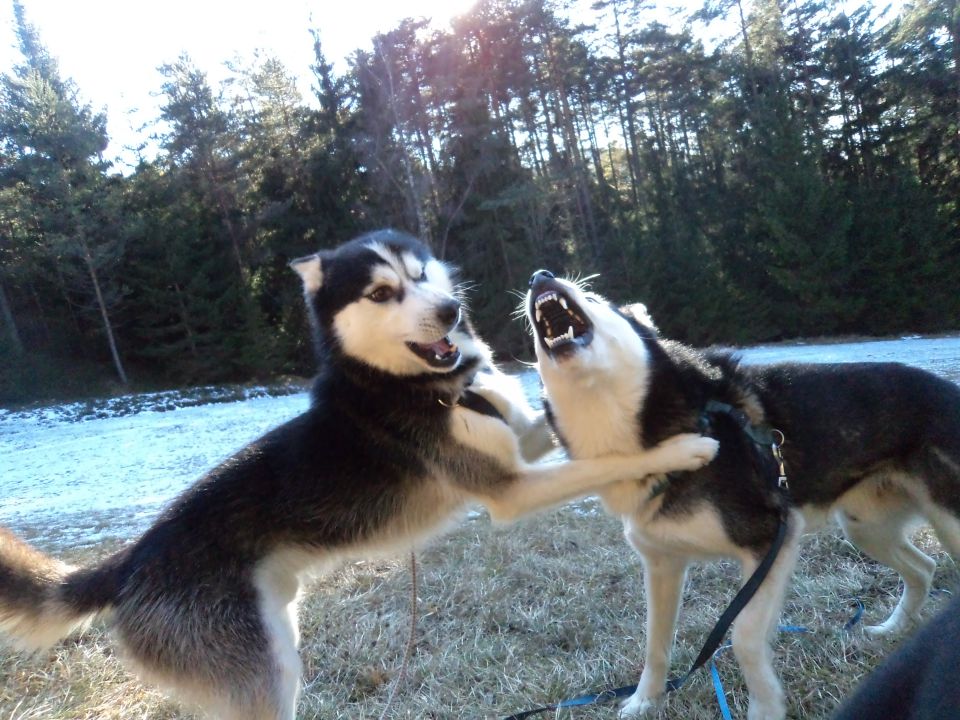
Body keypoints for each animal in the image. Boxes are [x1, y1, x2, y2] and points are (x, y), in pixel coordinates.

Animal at [0, 232, 720, 720]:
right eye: (380, 293)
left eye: (422, 273)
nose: (450, 310)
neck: (428, 387)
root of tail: (129, 561)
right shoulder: (509, 491)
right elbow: (605, 460)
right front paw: (684, 447)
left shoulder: (519, 443)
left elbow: (559, 432)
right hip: (264, 678)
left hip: (277, 646)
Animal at [524, 270, 960, 720]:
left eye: (594, 296)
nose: (540, 276)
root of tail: (950, 389)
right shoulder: (662, 563)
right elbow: (655, 644)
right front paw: (644, 701)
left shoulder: (771, 542)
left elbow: (744, 636)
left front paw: (765, 705)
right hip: (866, 528)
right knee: (923, 567)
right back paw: (893, 630)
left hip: (947, 525)